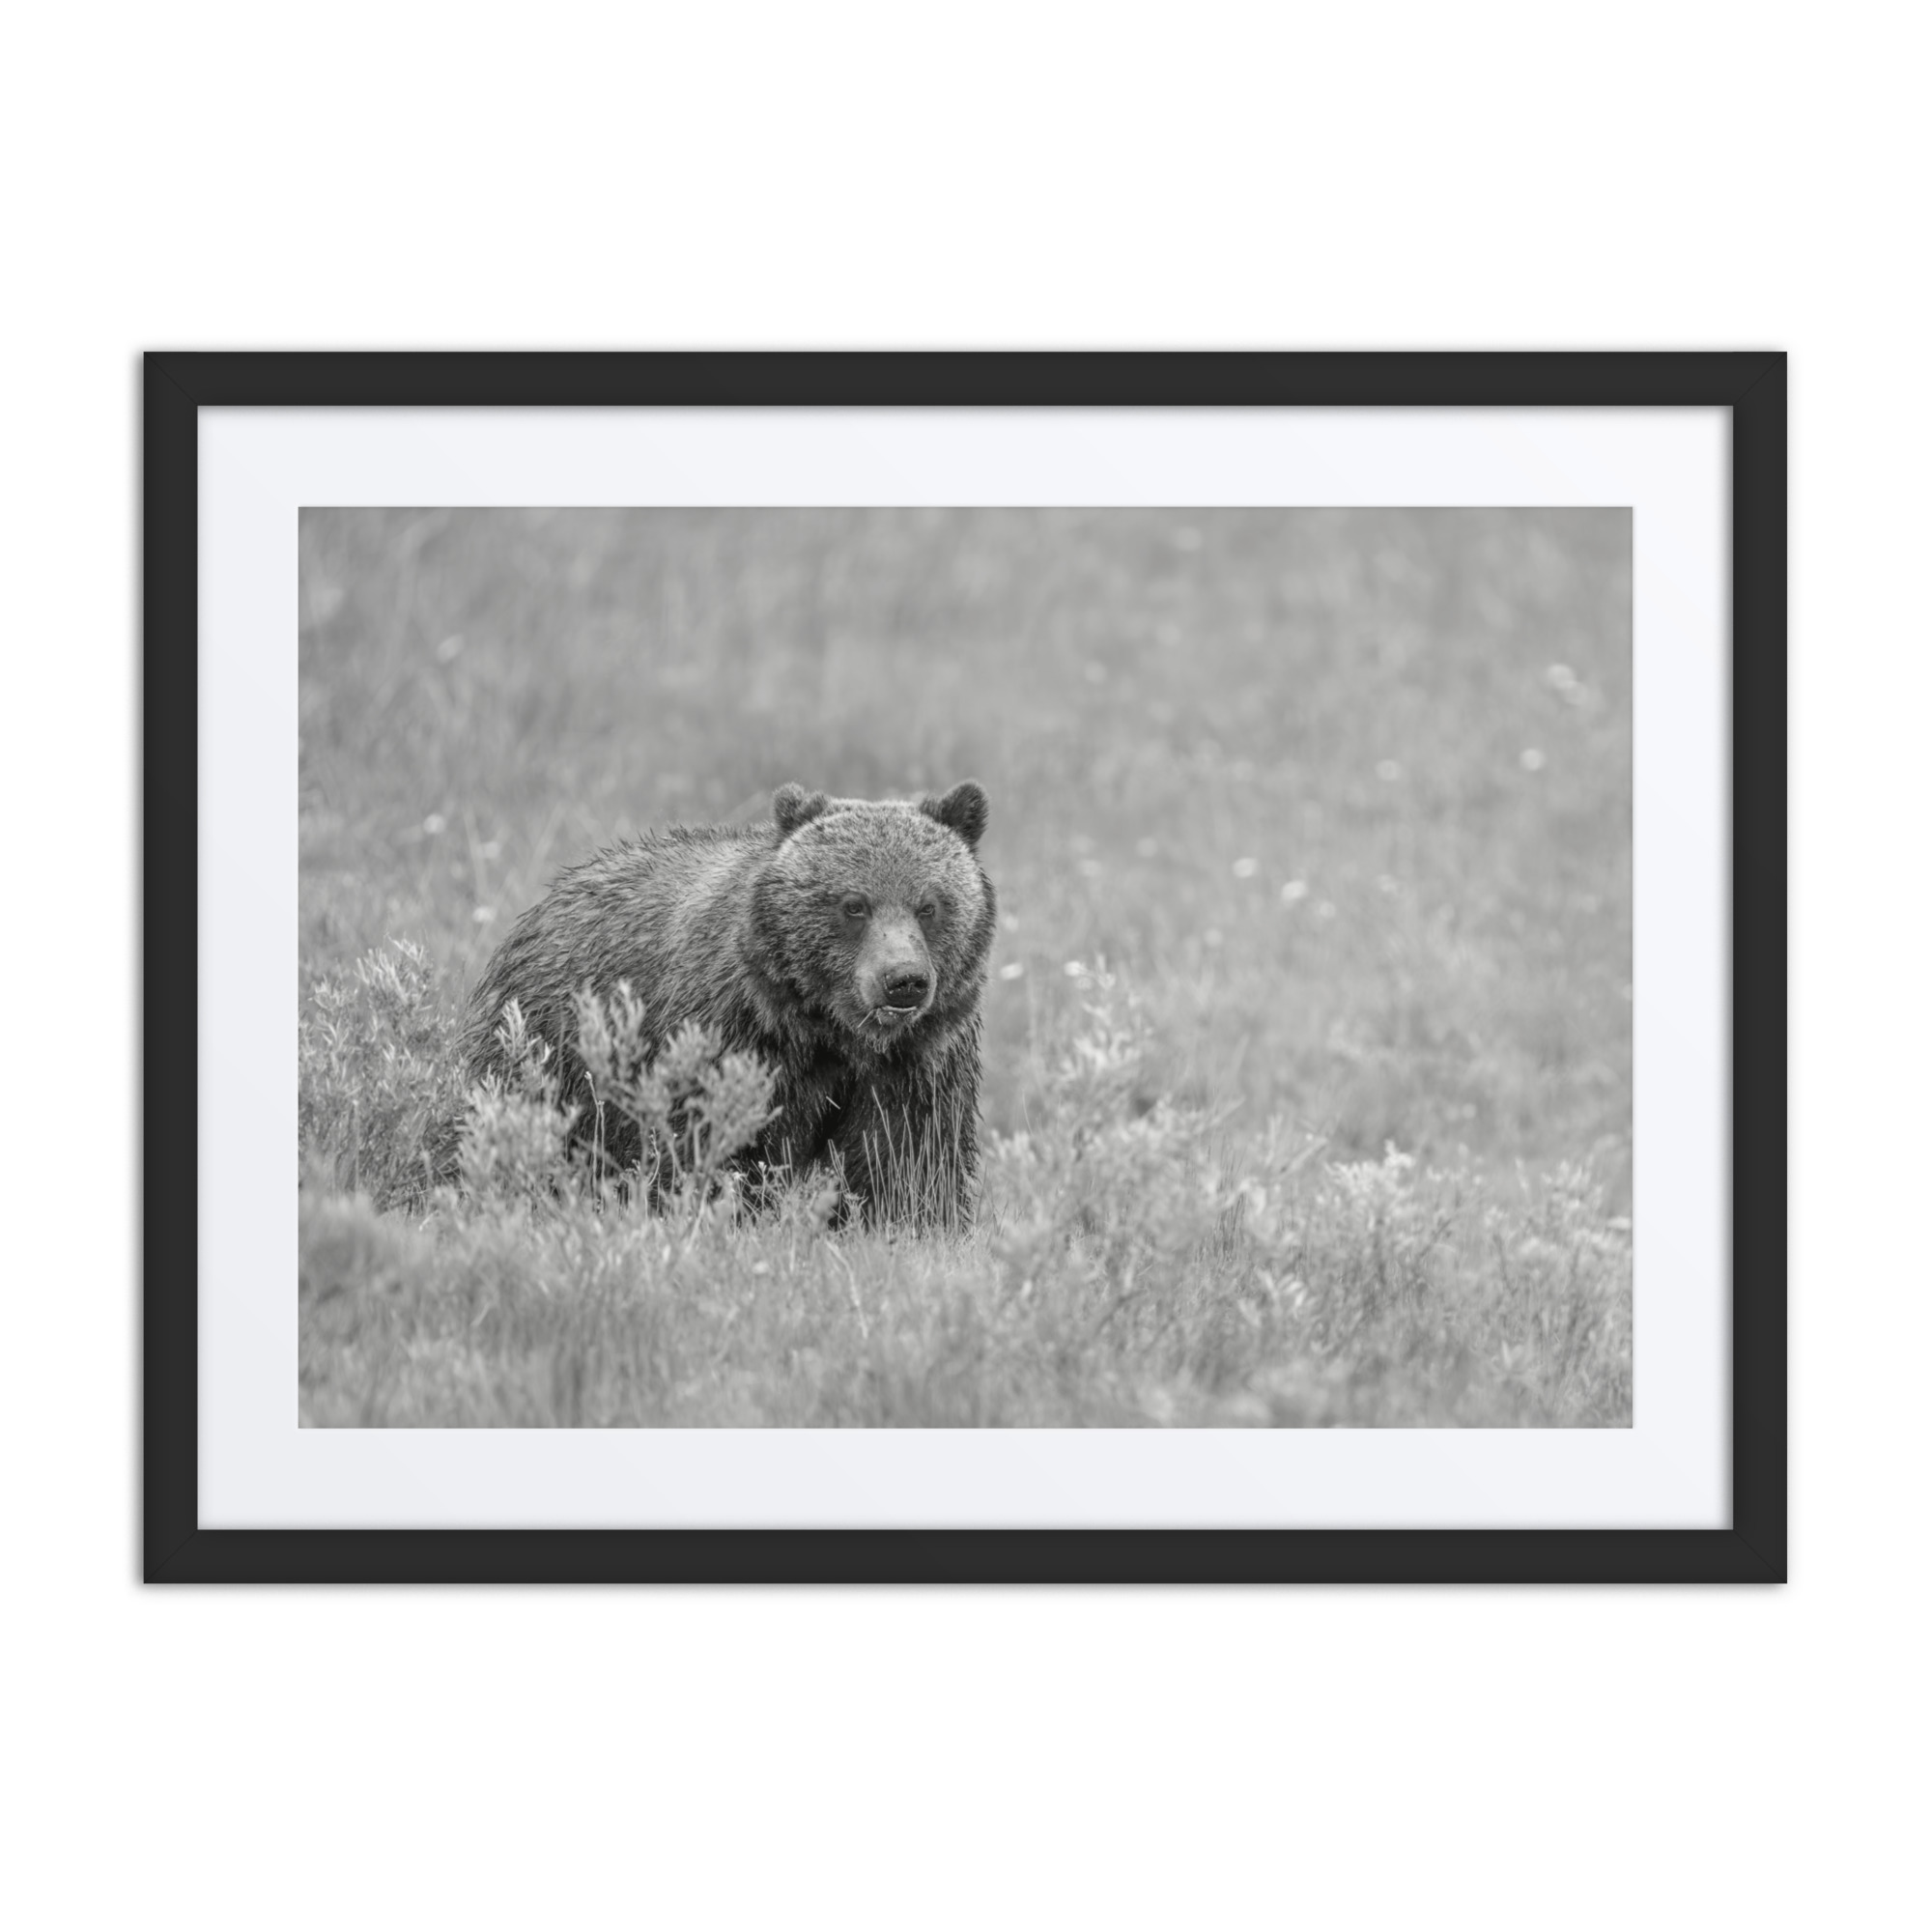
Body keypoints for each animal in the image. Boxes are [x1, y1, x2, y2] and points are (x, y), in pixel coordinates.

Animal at [460, 780, 996, 1227]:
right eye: (853, 904)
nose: (903, 981)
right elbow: (714, 1143)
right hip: (549, 1046)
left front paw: (909, 1225)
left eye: (929, 905)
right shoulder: (732, 1034)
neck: (830, 1031)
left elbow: (908, 1160)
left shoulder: (919, 1061)